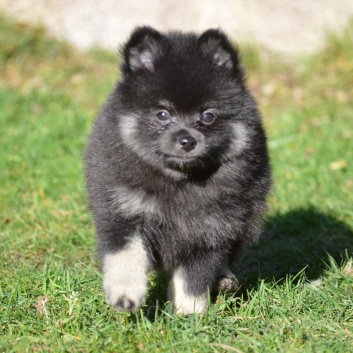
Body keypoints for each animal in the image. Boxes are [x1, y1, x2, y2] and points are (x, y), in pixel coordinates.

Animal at [84, 27, 270, 314]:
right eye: (162, 114)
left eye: (208, 116)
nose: (187, 140)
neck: (179, 180)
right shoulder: (123, 213)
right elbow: (126, 256)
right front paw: (126, 294)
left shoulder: (211, 230)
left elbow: (193, 277)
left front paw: (189, 313)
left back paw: (224, 278)